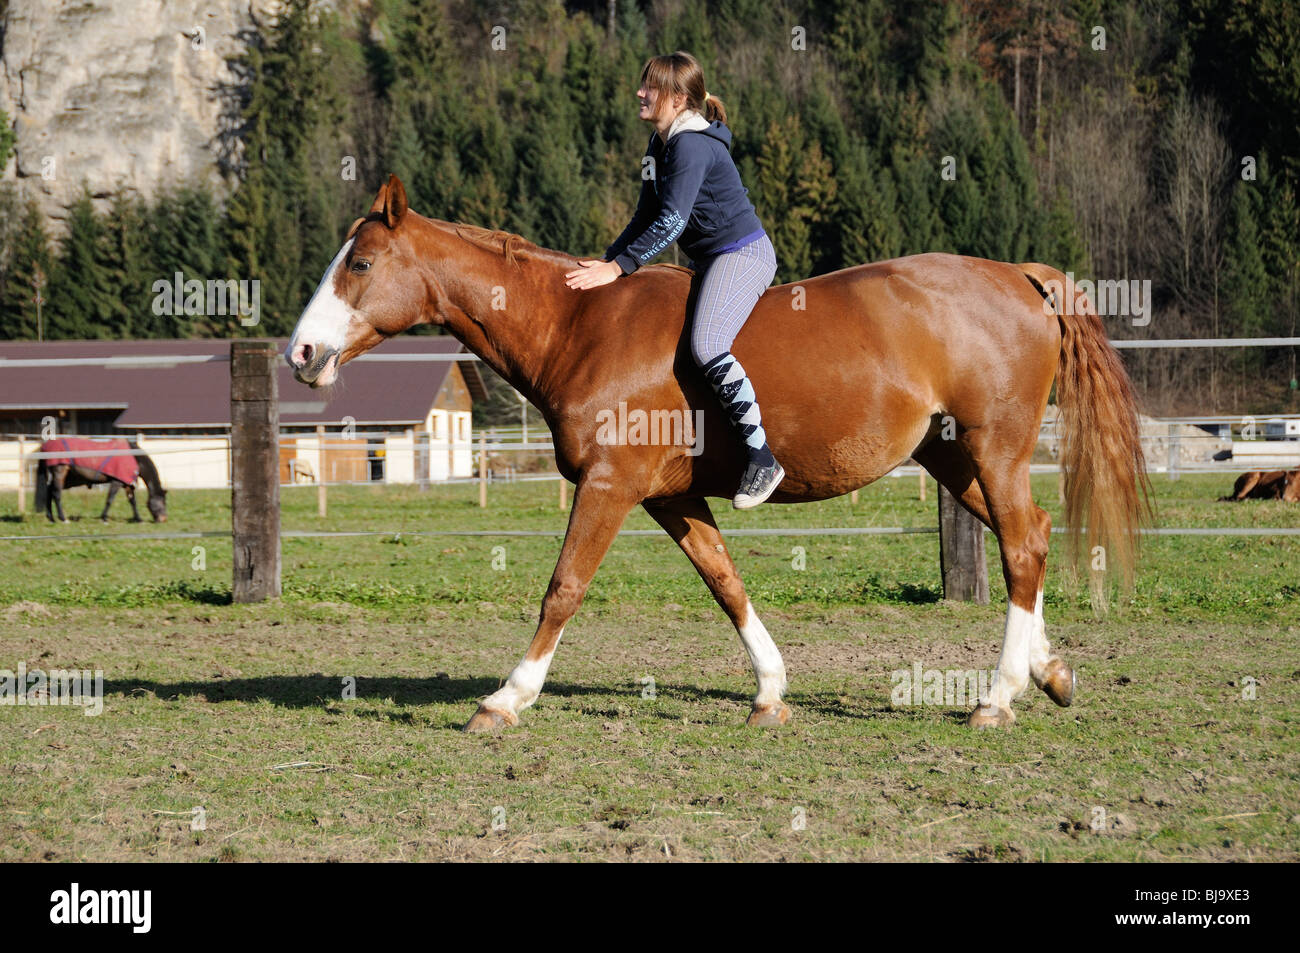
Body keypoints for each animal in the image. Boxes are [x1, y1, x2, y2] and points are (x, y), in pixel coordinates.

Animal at [287, 174, 1149, 733]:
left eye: (359, 263)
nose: (301, 352)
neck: (578, 326)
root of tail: (1018, 275)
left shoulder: (609, 486)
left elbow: (563, 589)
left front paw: (507, 697)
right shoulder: (671, 497)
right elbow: (725, 582)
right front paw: (770, 690)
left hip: (992, 450)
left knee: (1022, 546)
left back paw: (998, 695)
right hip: (952, 459)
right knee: (1029, 536)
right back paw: (1048, 672)